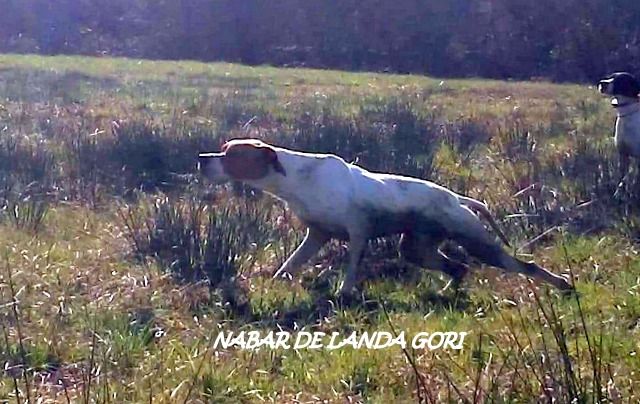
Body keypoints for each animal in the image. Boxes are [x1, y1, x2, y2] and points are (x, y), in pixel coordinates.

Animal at [199, 140, 568, 296]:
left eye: (232, 155)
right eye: (224, 148)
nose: (202, 158)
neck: (299, 179)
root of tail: (455, 198)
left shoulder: (357, 232)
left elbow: (350, 269)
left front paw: (345, 293)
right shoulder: (316, 235)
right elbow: (288, 266)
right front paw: (273, 283)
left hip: (477, 243)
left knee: (525, 266)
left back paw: (563, 284)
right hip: (417, 249)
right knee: (458, 268)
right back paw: (446, 293)